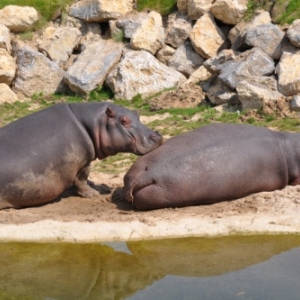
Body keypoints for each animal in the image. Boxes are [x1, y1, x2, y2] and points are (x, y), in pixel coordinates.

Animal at [0, 102, 162, 210]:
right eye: (124, 120)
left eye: (137, 114)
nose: (157, 135)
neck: (95, 123)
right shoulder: (84, 161)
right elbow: (81, 179)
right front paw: (93, 194)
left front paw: (94, 186)